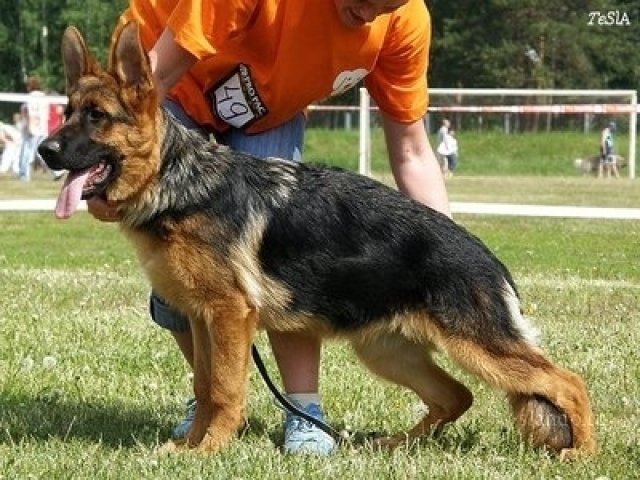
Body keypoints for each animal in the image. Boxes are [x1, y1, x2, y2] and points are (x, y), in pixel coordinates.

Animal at [37, 23, 596, 462]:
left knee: (566, 382)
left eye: (97, 116)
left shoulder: (229, 316)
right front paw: (190, 445)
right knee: (456, 396)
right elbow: (204, 385)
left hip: (477, 348)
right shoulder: (201, 318)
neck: (178, 178)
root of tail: (490, 261)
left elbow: (225, 389)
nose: (45, 150)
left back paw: (581, 453)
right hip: (388, 352)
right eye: (68, 112)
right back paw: (396, 445)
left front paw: (211, 449)